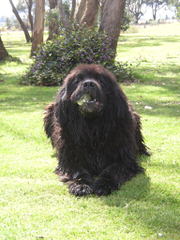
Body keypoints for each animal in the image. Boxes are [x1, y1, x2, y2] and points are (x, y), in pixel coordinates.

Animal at [44, 64, 149, 197]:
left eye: (101, 80)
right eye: (77, 80)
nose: (88, 84)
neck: (93, 127)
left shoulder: (124, 159)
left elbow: (112, 171)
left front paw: (103, 184)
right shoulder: (70, 157)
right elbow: (78, 171)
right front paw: (81, 185)